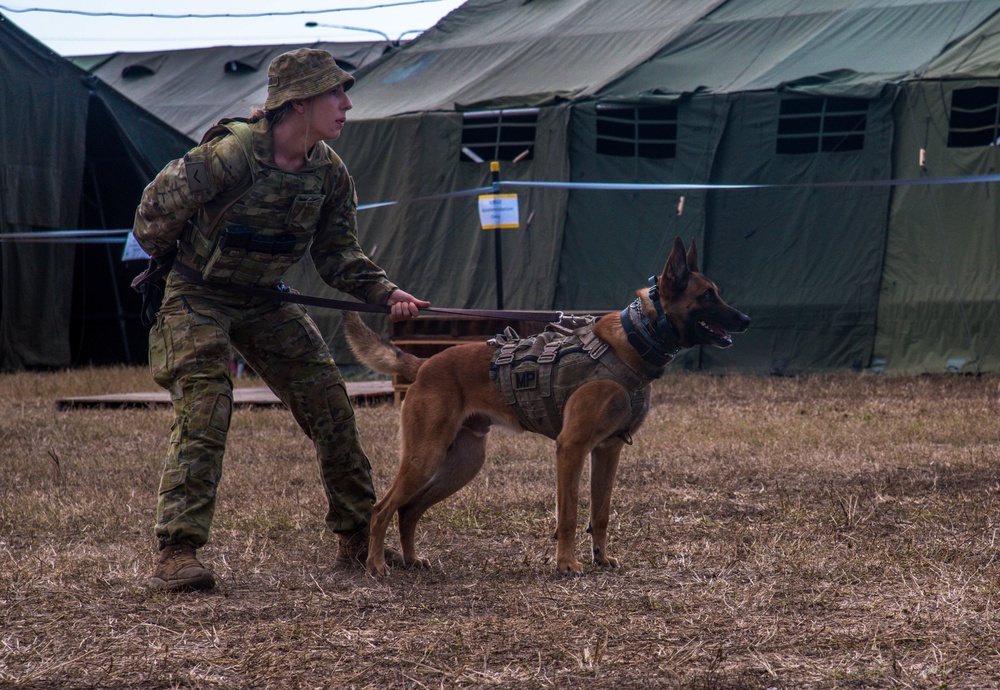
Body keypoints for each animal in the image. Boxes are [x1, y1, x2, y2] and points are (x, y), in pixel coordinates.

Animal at [348, 236, 748, 576]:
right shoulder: (572, 448)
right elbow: (569, 513)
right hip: (425, 457)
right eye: (708, 296)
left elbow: (600, 513)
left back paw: (412, 560)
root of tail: (424, 364)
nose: (746, 320)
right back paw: (376, 565)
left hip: (463, 464)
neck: (635, 339)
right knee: (382, 509)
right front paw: (566, 563)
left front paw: (600, 557)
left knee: (409, 509)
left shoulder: (608, 451)